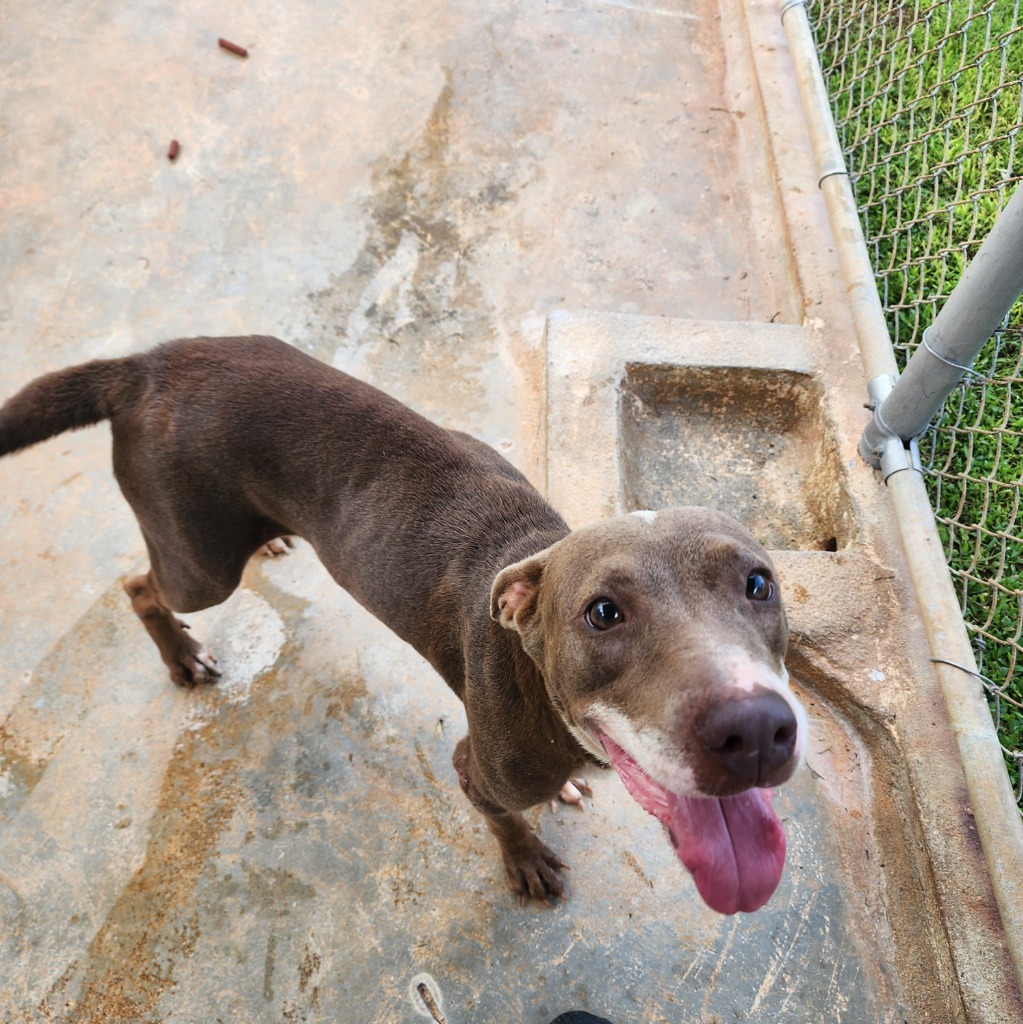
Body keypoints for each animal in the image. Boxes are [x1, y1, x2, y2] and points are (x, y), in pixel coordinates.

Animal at [4, 335, 811, 913]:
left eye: (758, 584)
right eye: (603, 614)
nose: (754, 731)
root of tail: (145, 364)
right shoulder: (475, 769)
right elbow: (501, 816)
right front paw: (525, 859)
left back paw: (267, 540)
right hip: (199, 570)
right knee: (139, 585)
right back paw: (180, 655)